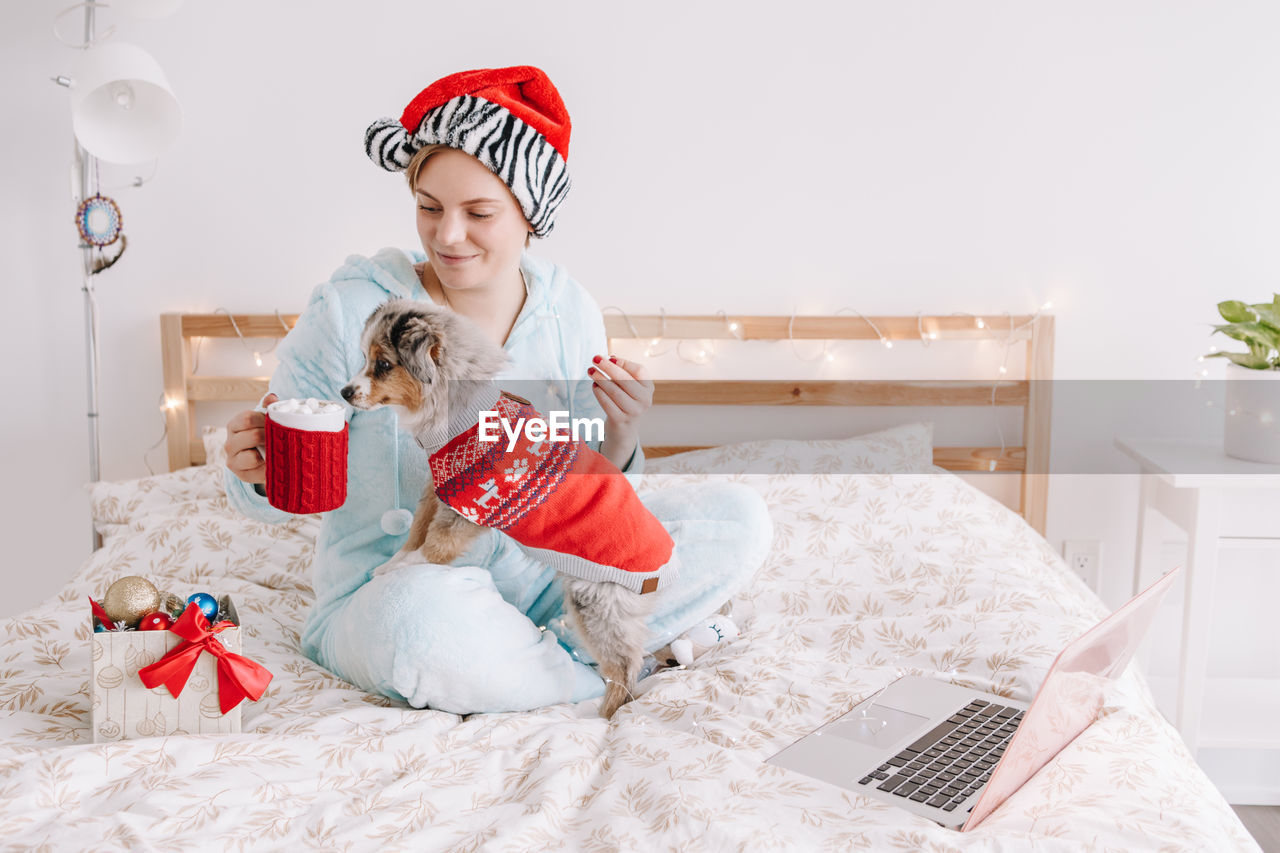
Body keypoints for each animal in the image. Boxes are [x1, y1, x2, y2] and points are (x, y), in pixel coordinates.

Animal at [345, 298, 675, 717]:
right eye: (364, 359)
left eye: (384, 364)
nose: (344, 391)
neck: (455, 412)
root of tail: (665, 568)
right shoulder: (438, 491)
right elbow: (416, 531)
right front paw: (393, 563)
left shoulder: (469, 506)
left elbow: (435, 546)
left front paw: (404, 567)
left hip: (597, 602)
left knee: (623, 667)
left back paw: (600, 716)